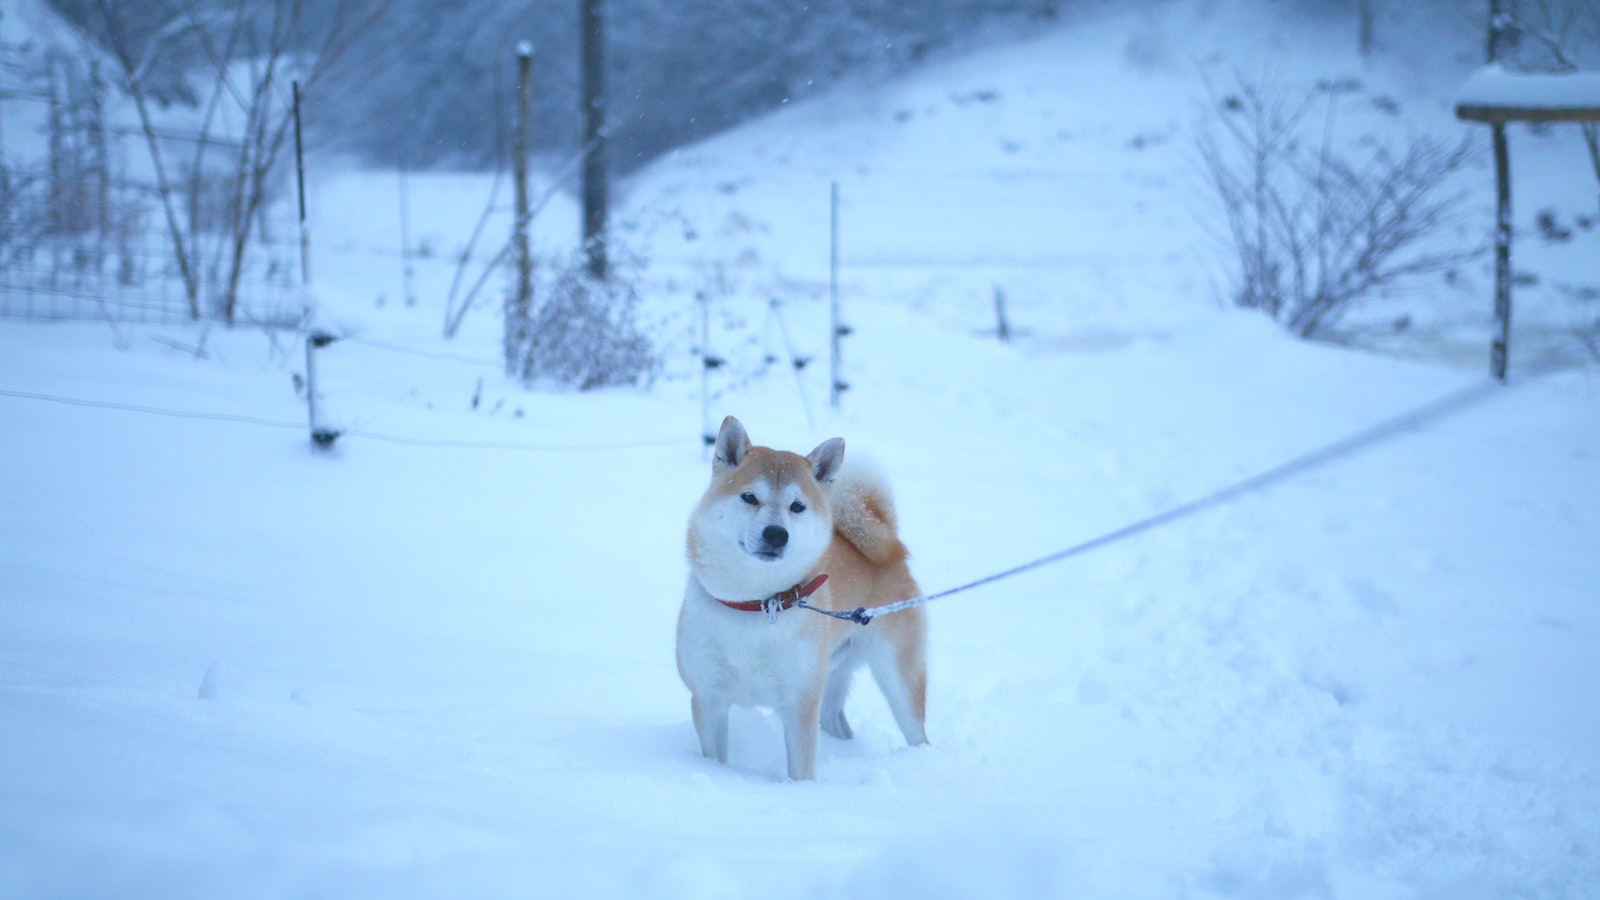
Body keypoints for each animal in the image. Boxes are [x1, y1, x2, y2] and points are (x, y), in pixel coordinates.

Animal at [672, 416, 928, 775]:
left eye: (797, 507)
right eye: (749, 497)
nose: (776, 534)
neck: (757, 604)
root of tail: (888, 547)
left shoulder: (799, 705)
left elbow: (800, 772)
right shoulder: (708, 700)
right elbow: (714, 755)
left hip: (897, 676)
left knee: (917, 730)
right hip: (832, 675)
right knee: (837, 722)